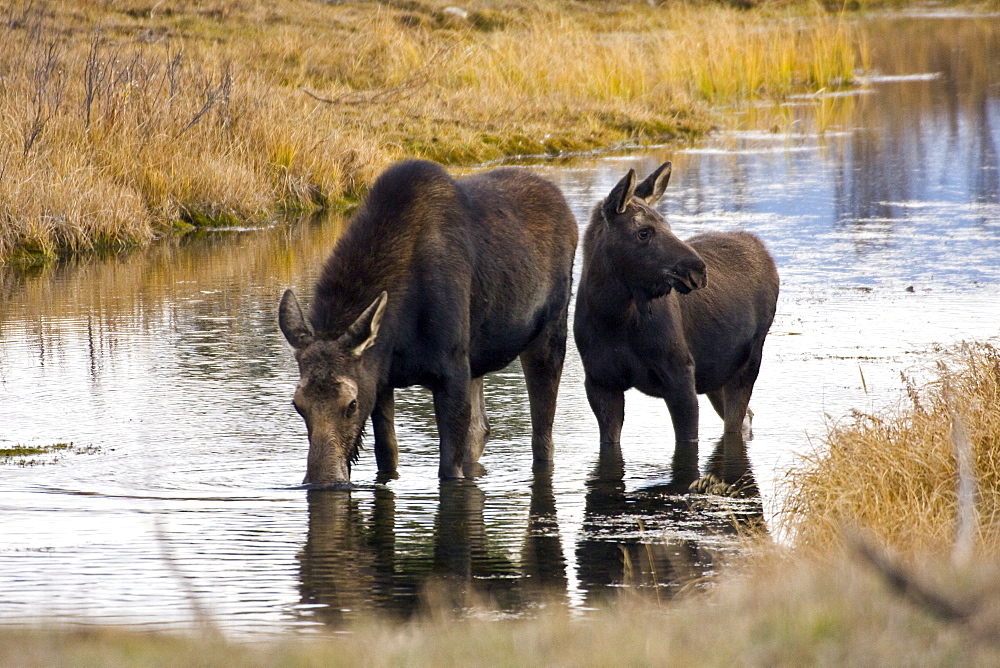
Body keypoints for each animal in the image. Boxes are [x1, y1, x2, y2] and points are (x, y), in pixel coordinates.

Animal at [282, 160, 580, 488]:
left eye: (351, 404)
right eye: (297, 405)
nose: (321, 481)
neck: (396, 337)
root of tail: (568, 213)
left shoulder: (452, 371)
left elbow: (449, 468)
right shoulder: (382, 380)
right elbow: (387, 454)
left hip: (549, 333)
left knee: (542, 436)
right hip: (477, 361)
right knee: (481, 430)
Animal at [572, 160, 780, 456]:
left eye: (668, 225)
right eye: (643, 232)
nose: (698, 269)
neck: (612, 318)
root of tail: (764, 251)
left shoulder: (680, 374)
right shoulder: (600, 382)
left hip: (749, 363)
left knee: (736, 422)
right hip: (716, 373)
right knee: (747, 415)